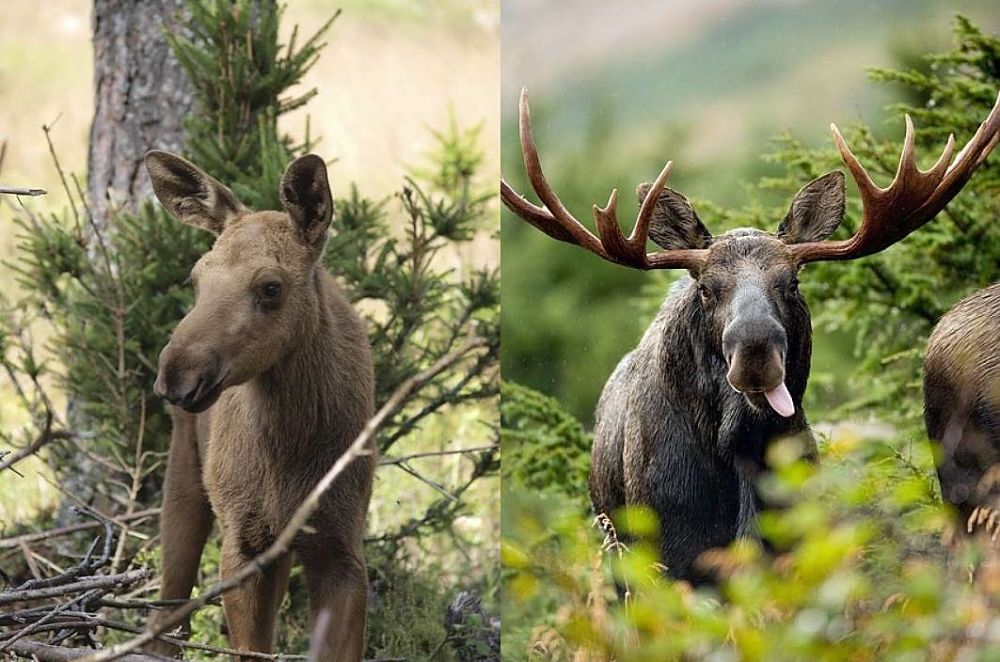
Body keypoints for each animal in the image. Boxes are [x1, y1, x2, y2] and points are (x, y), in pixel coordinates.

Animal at [143, 152, 374, 662]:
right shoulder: (242, 542)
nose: (177, 375)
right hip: (187, 474)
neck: (291, 445)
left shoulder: (342, 545)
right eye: (196, 278)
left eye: (271, 287)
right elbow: (249, 648)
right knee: (168, 610)